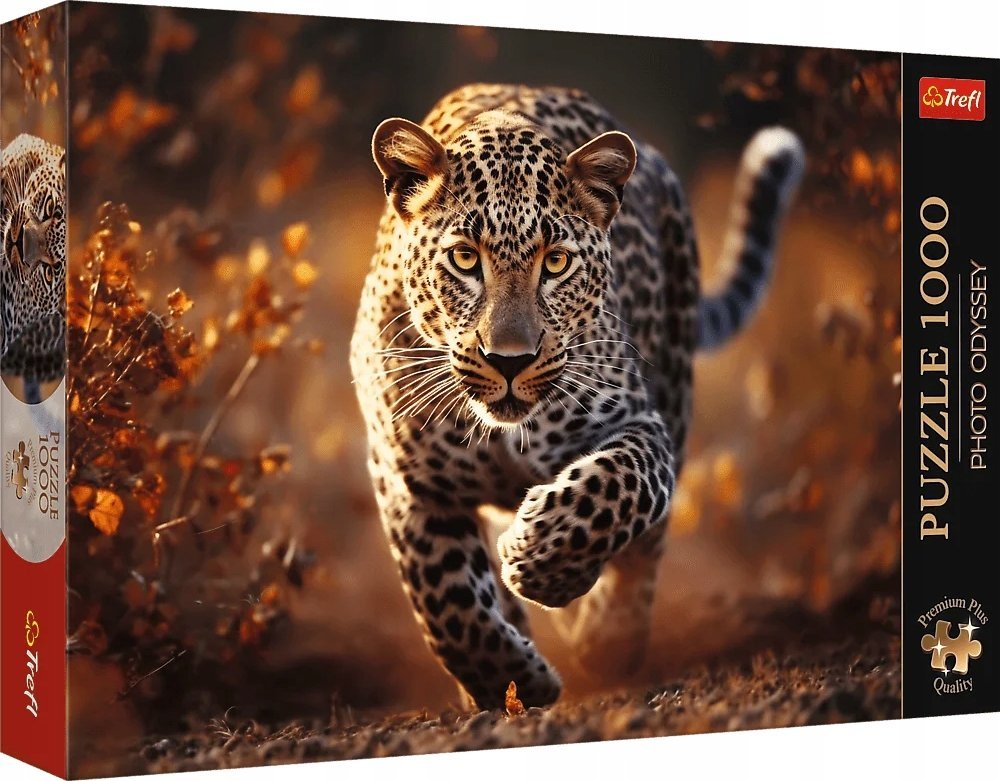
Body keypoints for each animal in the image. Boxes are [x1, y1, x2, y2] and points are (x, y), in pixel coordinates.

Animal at [350, 84, 803, 711]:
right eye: (464, 258)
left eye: (556, 262)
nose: (509, 360)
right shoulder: (406, 479)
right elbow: (447, 599)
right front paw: (510, 681)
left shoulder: (640, 424)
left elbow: (617, 487)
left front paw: (541, 559)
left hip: (676, 386)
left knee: (645, 551)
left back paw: (608, 638)